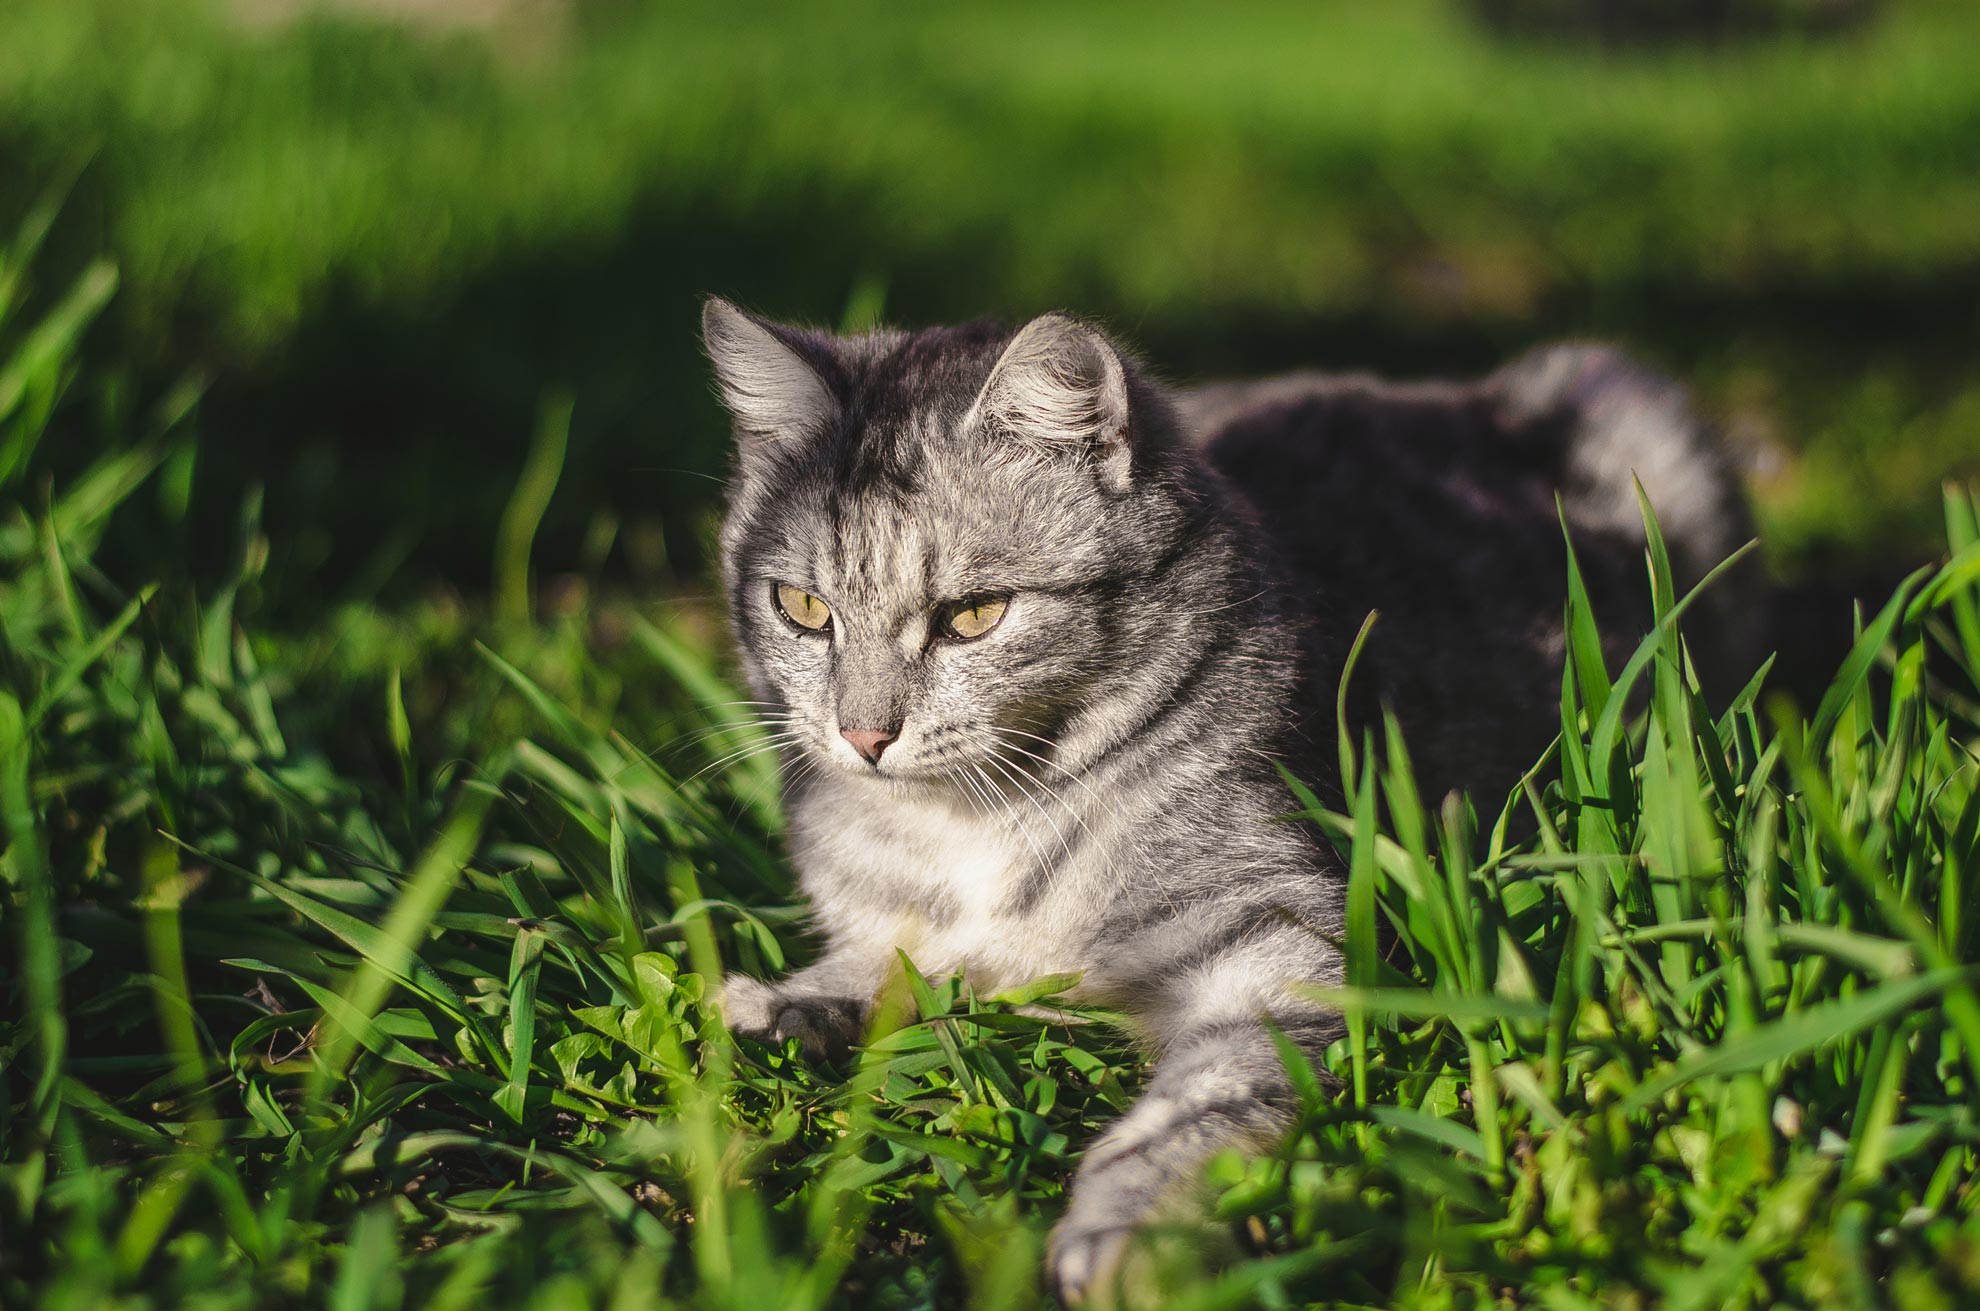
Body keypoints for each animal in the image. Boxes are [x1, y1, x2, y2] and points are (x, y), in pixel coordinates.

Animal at [696, 301, 1750, 1307]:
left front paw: (1127, 1235)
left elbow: (1196, 1107)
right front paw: (779, 1004)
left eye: (974, 616)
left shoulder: (1273, 942)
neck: (971, 820)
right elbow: (875, 959)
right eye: (802, 608)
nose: (863, 736)